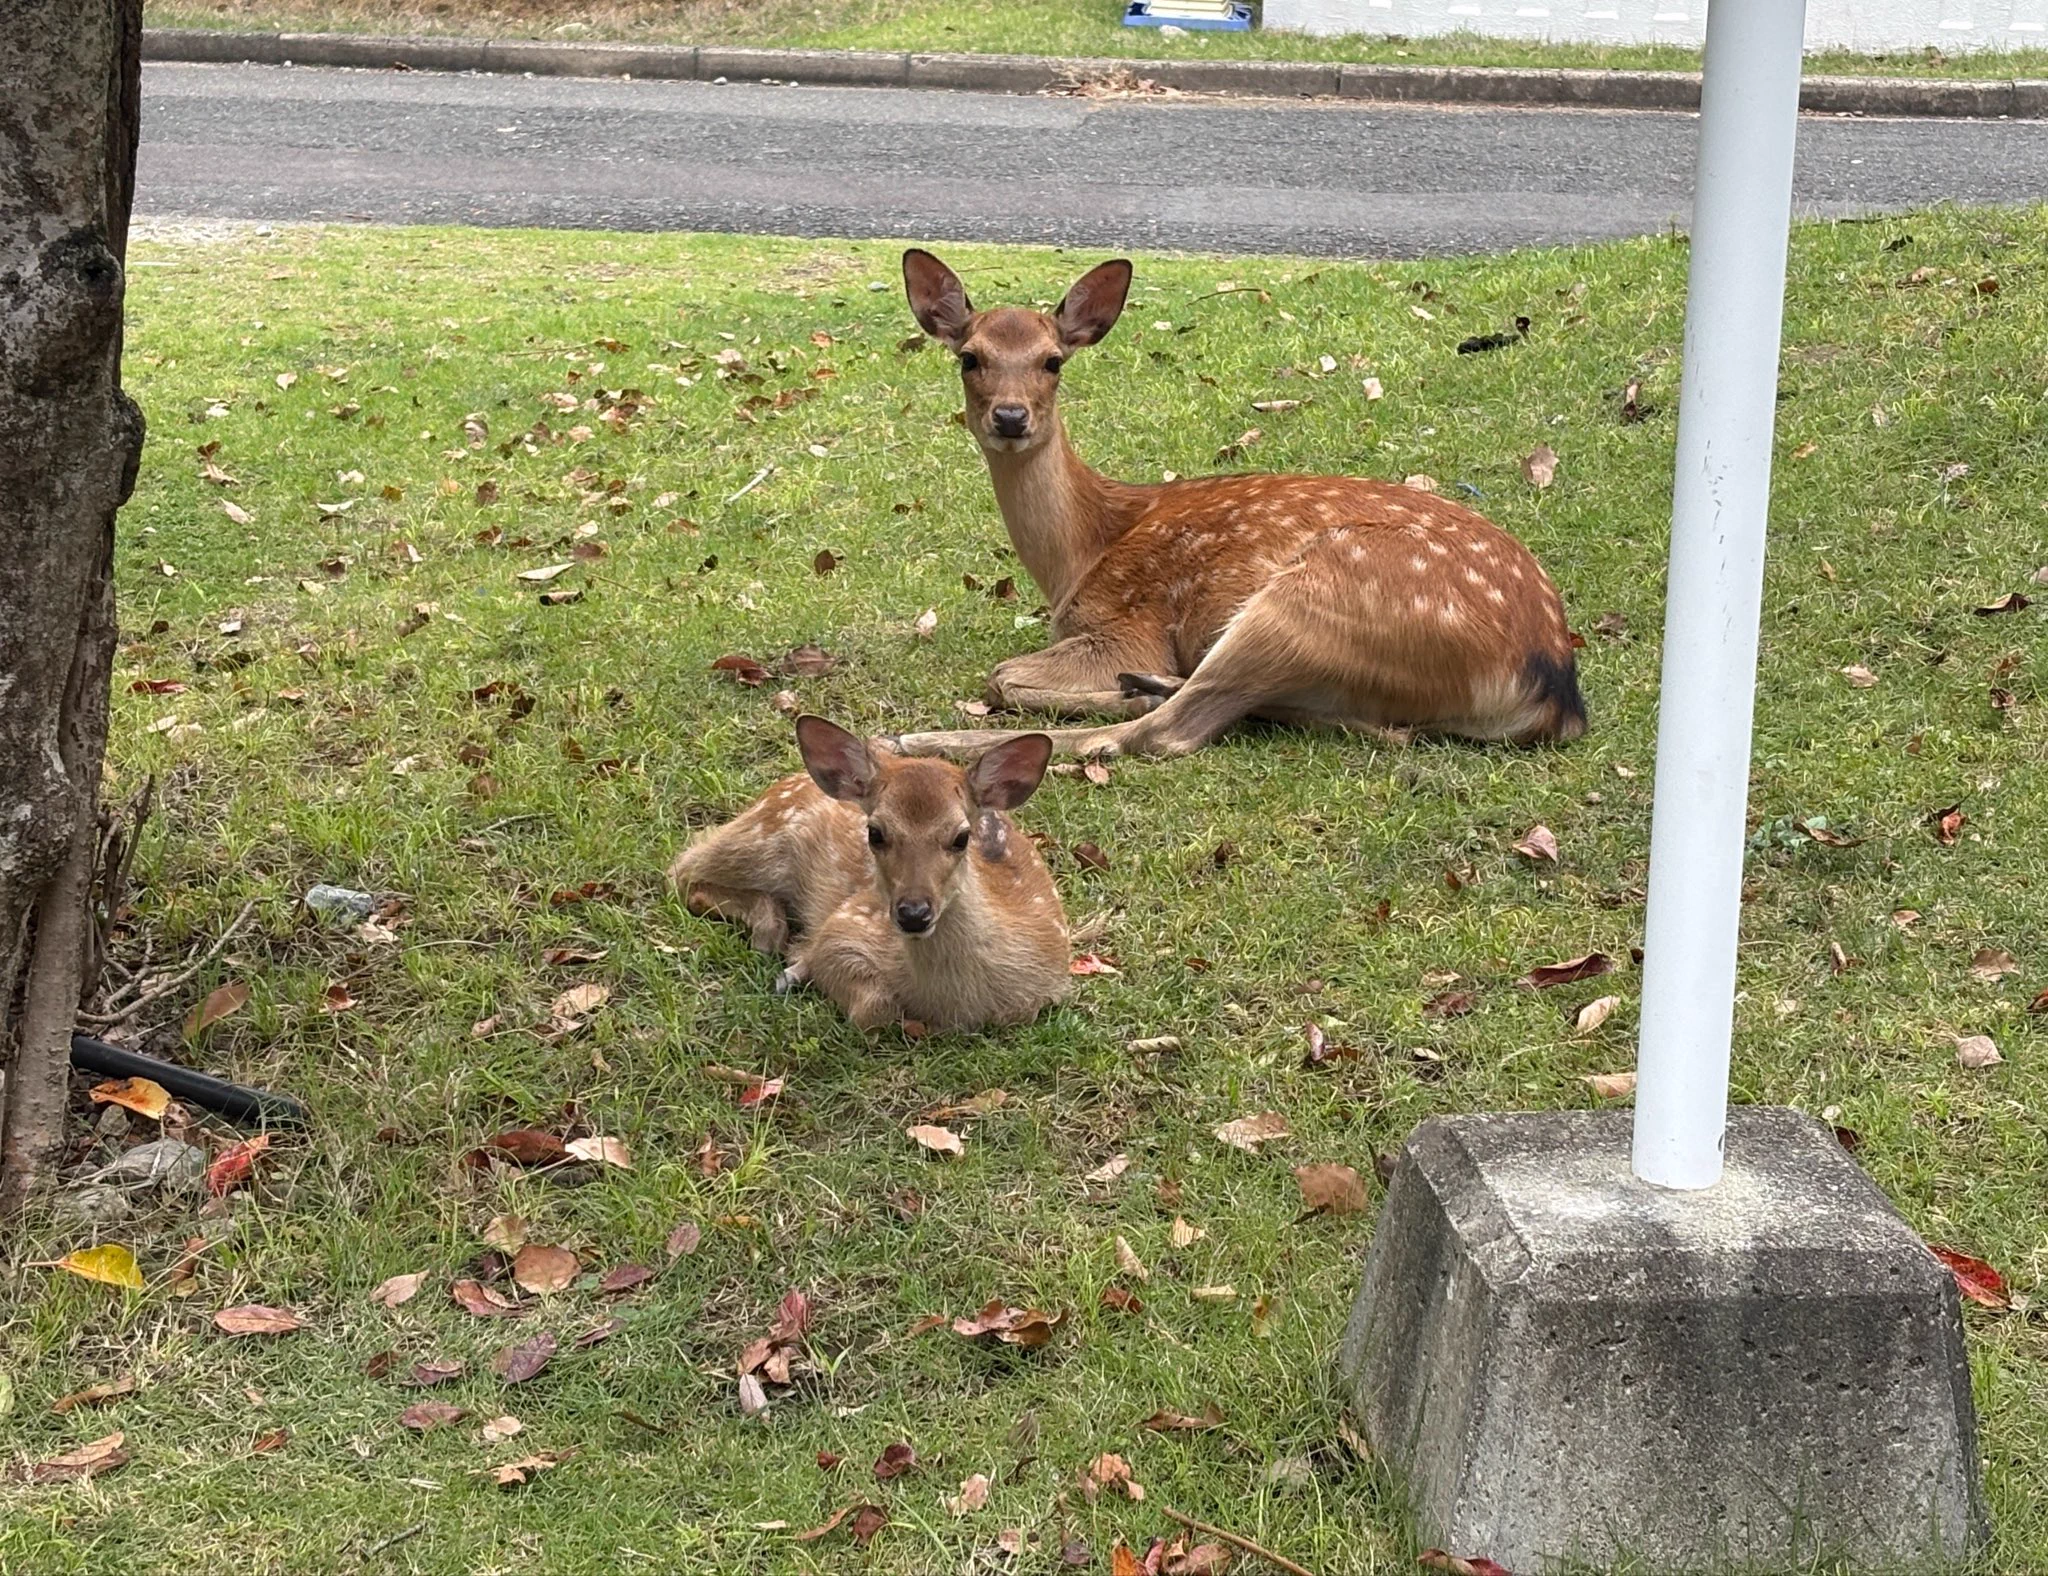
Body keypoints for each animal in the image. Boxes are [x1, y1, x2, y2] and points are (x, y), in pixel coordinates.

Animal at [667, 716, 1068, 1033]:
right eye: (875, 833)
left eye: (961, 837)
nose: (913, 913)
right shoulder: (848, 923)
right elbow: (872, 1009)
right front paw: (800, 962)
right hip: (762, 837)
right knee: (683, 868)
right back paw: (772, 937)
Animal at [887, 248, 1587, 763]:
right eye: (969, 358)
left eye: (1053, 360)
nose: (1011, 417)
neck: (1078, 556)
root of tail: (1554, 691)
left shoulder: (1128, 627)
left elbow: (1001, 674)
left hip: (1314, 596)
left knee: (1165, 733)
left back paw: (920, 739)